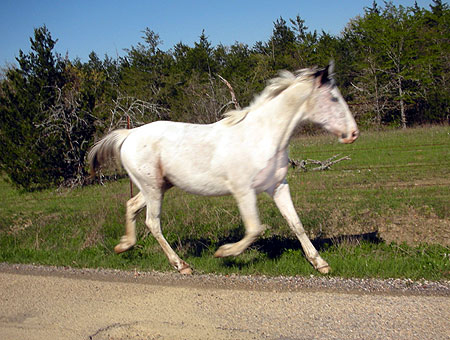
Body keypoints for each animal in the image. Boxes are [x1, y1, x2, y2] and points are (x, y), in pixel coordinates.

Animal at [89, 62, 358, 274]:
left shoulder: (278, 186)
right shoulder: (243, 190)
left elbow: (296, 223)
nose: (353, 134)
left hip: (157, 187)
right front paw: (224, 253)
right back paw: (182, 265)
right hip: (153, 188)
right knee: (153, 223)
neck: (264, 135)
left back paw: (124, 245)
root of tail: (129, 134)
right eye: (333, 98)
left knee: (131, 205)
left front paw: (320, 264)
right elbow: (254, 229)